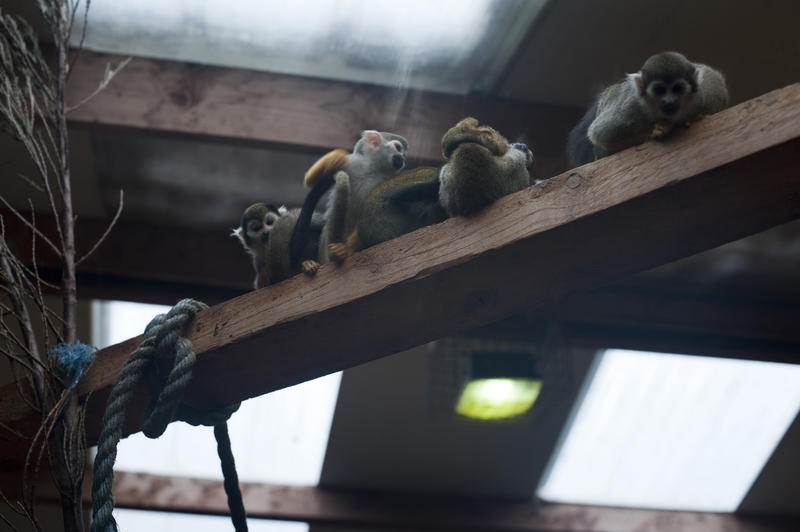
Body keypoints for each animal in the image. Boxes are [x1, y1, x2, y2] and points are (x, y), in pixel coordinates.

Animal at [290, 129, 406, 270]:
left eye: (404, 153)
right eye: (398, 148)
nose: (403, 159)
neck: (372, 170)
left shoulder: (384, 181)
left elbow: (369, 215)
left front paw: (345, 250)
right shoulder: (352, 163)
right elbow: (309, 181)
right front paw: (335, 156)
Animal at [564, 51, 728, 166]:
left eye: (678, 88)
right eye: (659, 90)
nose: (669, 101)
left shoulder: (699, 99)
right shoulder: (632, 108)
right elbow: (600, 133)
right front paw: (657, 130)